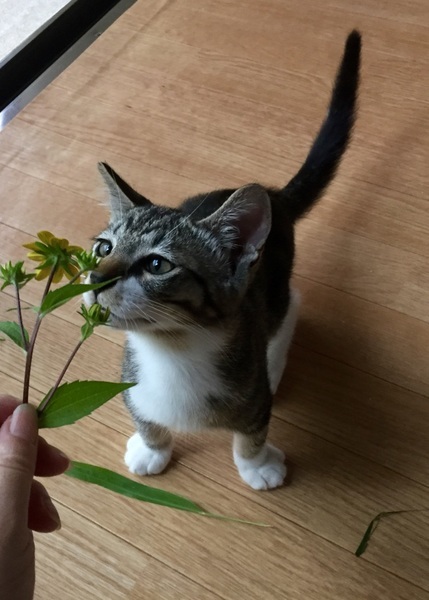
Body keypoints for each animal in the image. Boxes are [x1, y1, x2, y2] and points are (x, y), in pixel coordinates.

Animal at [84, 30, 361, 490]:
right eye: (103, 249)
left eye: (158, 265)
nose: (94, 278)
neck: (171, 352)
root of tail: (274, 196)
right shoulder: (129, 380)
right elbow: (143, 414)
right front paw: (150, 447)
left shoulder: (252, 394)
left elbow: (252, 431)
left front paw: (257, 465)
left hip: (275, 289)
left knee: (290, 306)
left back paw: (276, 360)